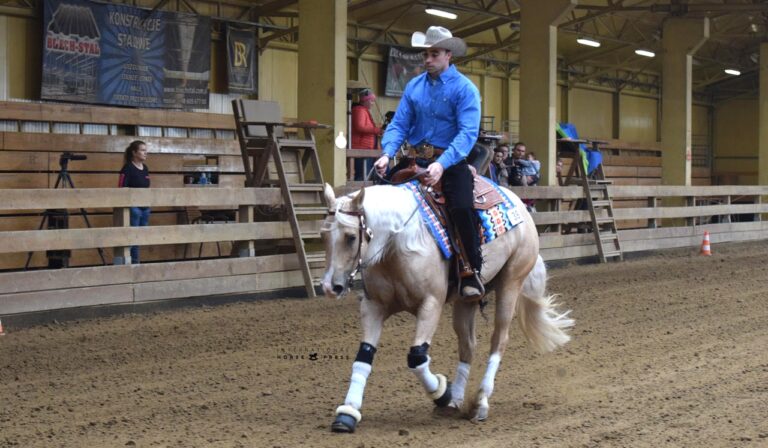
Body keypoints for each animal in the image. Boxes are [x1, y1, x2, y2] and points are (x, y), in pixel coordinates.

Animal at [320, 182, 574, 433]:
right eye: (324, 235)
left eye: (351, 237)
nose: (330, 286)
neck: (398, 244)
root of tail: (519, 203)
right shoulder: (374, 306)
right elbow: (363, 357)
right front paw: (347, 413)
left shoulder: (431, 304)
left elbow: (417, 358)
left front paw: (443, 393)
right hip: (465, 301)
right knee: (468, 345)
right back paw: (456, 401)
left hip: (511, 282)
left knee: (499, 339)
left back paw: (480, 401)